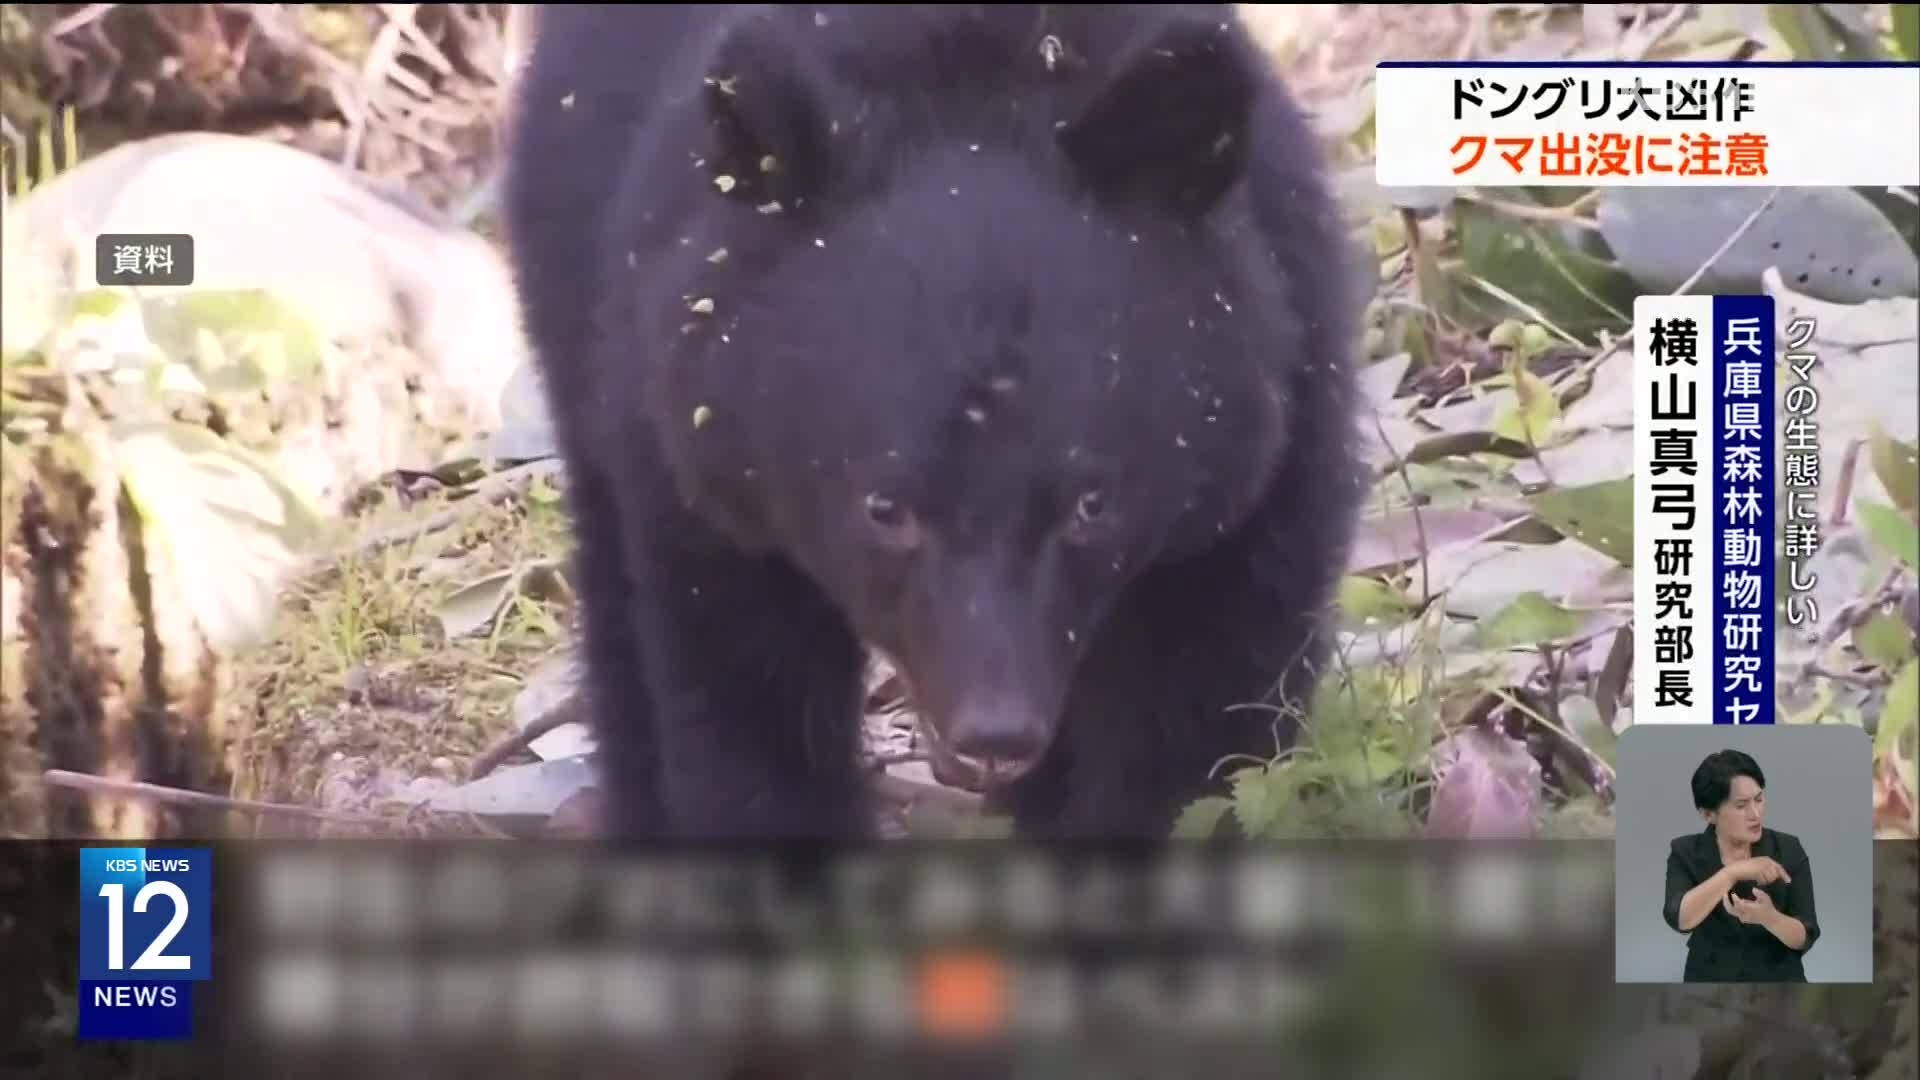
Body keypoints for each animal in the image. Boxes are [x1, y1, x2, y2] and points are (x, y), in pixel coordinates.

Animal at [495, 4, 1367, 841]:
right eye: (886, 508)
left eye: (1092, 503)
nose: (995, 732)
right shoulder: (696, 455)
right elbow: (741, 699)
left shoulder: (1269, 424)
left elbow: (1207, 702)